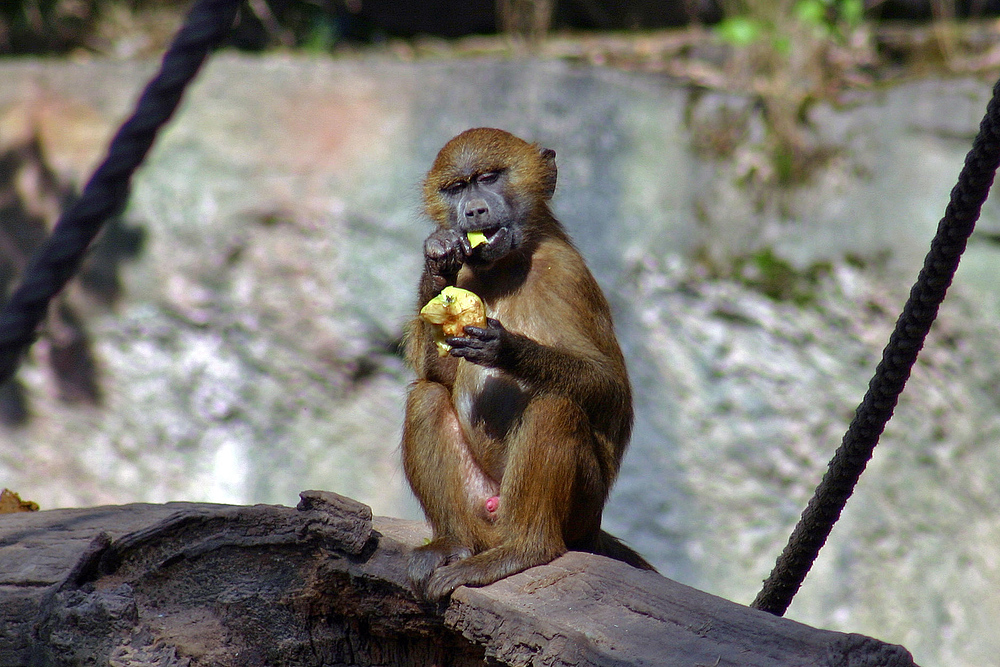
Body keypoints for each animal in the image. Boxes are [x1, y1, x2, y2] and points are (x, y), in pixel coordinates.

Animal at [402, 128, 652, 604]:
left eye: (489, 177)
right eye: (457, 187)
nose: (474, 210)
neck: (508, 262)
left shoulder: (566, 275)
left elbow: (610, 388)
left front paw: (507, 350)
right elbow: (437, 375)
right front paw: (439, 256)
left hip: (579, 512)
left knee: (556, 406)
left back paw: (524, 550)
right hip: (483, 511)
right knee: (426, 398)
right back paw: (451, 544)